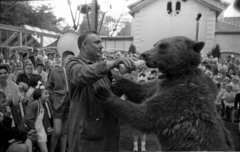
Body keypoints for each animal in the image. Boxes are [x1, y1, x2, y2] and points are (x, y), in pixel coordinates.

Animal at [94, 36, 234, 151]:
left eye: (163, 46)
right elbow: (141, 91)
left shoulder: (181, 96)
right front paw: (117, 77)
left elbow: (146, 115)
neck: (176, 75)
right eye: (155, 44)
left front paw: (105, 94)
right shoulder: (160, 85)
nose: (144, 54)